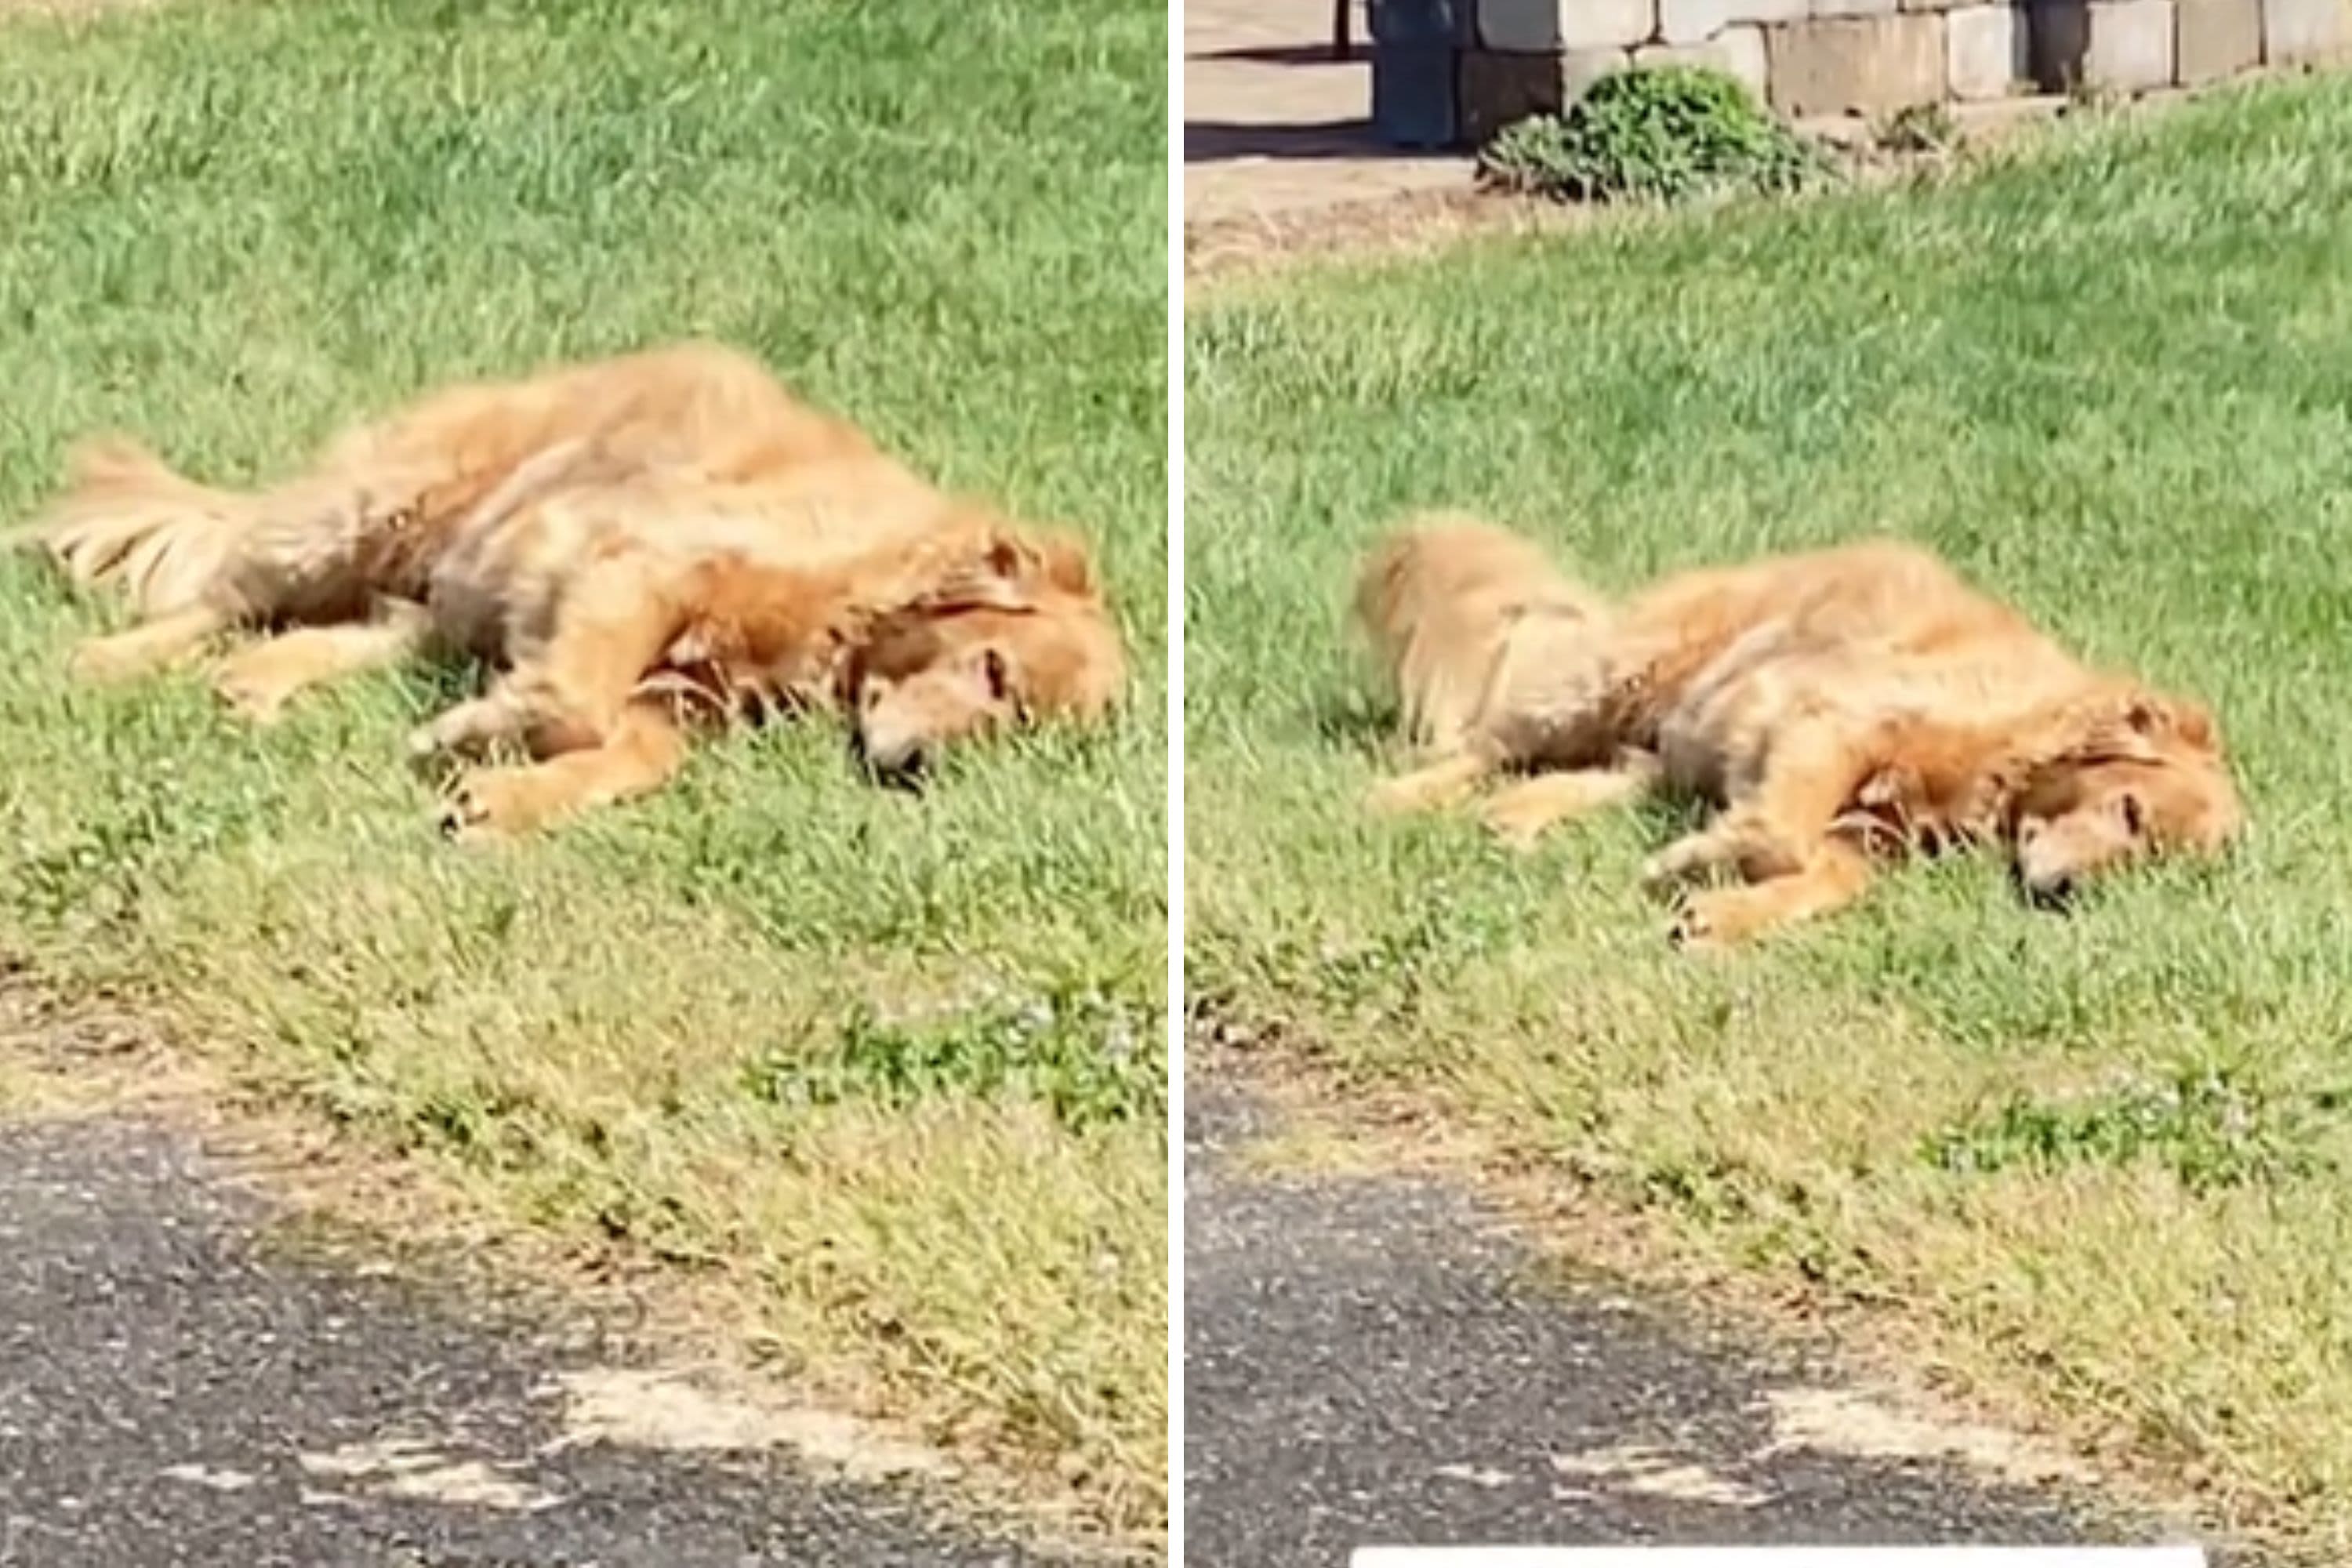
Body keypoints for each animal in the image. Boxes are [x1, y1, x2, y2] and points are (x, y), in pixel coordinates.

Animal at [13, 340, 1124, 832]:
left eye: (1021, 731)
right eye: (994, 670)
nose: (921, 771)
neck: (858, 592)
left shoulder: (680, 698)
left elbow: (626, 756)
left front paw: (502, 793)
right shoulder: (636, 561)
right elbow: (577, 702)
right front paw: (474, 734)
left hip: (439, 594)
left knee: (333, 632)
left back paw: (255, 687)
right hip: (373, 511)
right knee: (222, 590)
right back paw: (107, 660)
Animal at [1364, 521, 2239, 949]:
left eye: (2153, 867)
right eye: (2130, 811)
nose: (2072, 895)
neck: (2012, 745)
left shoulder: (1871, 834)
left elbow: (1826, 879)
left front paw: (1723, 913)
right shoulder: (1831, 718)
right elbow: (1781, 834)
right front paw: (1702, 862)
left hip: (1661, 747)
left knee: (1578, 777)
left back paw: (1513, 822)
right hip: (1611, 681)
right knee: (1482, 743)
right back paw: (1394, 798)